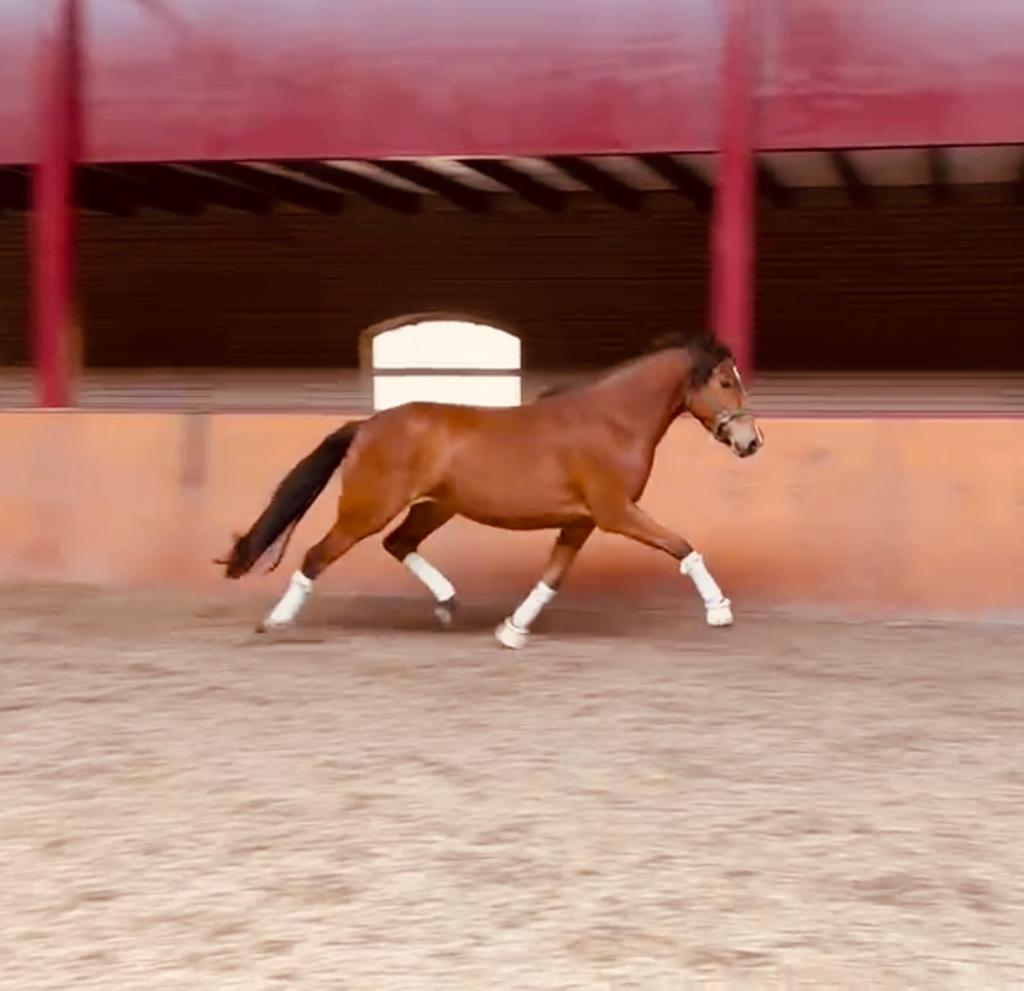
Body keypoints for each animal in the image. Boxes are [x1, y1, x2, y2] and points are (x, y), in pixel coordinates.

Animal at [218, 329, 764, 649]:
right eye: (724, 382)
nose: (751, 441)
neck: (612, 420)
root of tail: (368, 425)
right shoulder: (615, 512)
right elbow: (683, 546)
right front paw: (719, 612)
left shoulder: (581, 521)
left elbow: (552, 577)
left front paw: (512, 631)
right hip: (366, 509)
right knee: (317, 555)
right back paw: (276, 622)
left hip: (435, 507)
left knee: (398, 543)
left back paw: (447, 602)